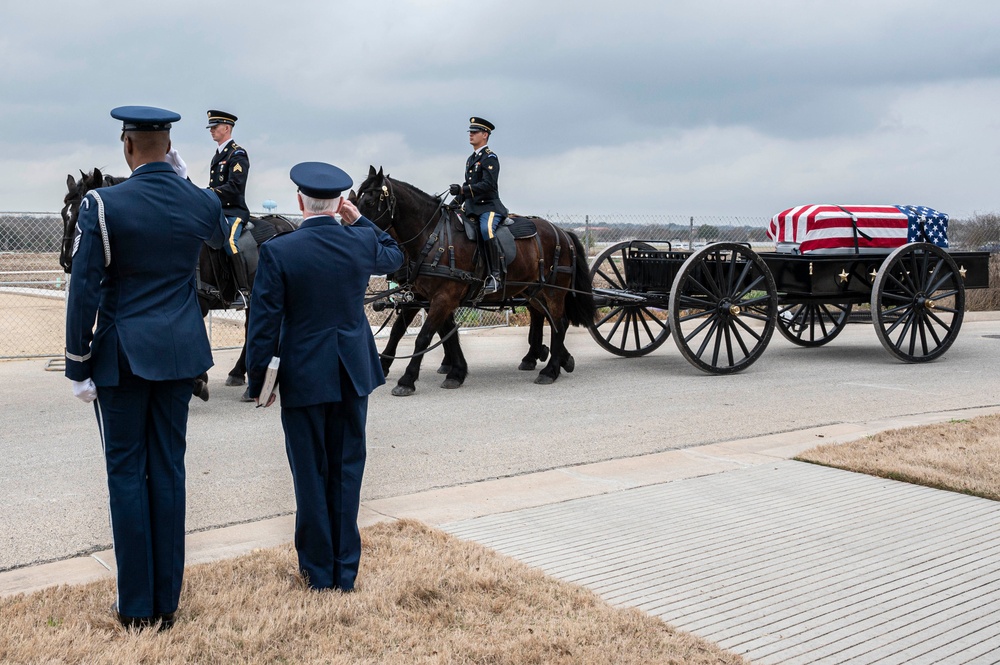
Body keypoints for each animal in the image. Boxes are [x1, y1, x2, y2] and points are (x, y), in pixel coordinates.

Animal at [61, 169, 296, 402]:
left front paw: (197, 381)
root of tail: (287, 224)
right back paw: (239, 374)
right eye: (64, 214)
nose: (67, 261)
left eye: (83, 213)